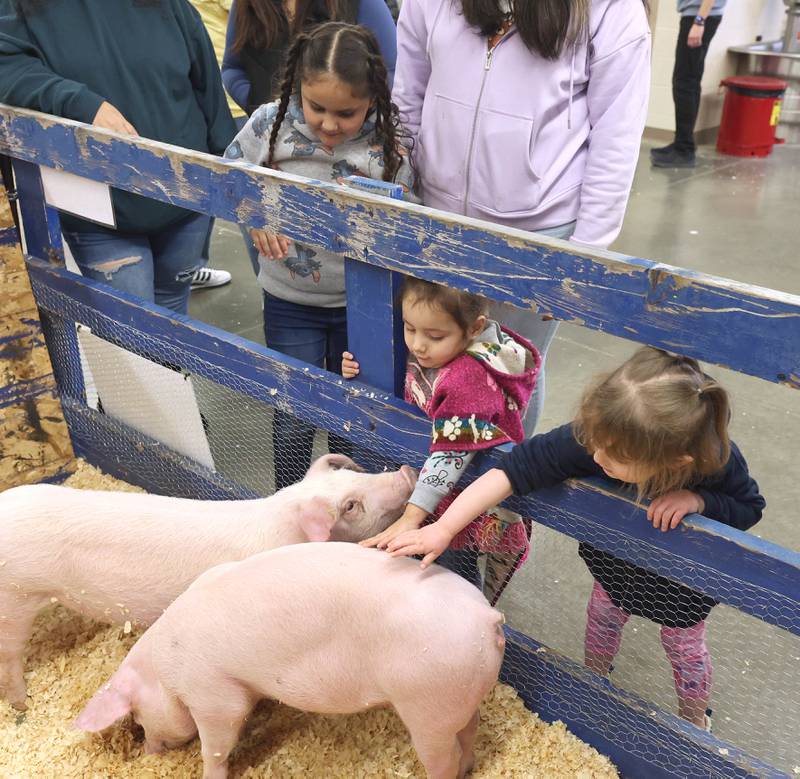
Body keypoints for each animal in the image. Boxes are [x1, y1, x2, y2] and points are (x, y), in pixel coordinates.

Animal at [0, 454, 412, 708]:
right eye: (350, 505)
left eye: (353, 475)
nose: (406, 472)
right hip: (15, 597)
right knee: (11, 654)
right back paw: (21, 703)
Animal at [78, 544, 504, 779]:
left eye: (137, 717)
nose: (148, 751)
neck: (164, 668)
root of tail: (486, 617)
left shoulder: (212, 694)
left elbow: (216, 743)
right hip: (459, 695)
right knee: (470, 729)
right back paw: (470, 767)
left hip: (427, 703)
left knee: (442, 760)